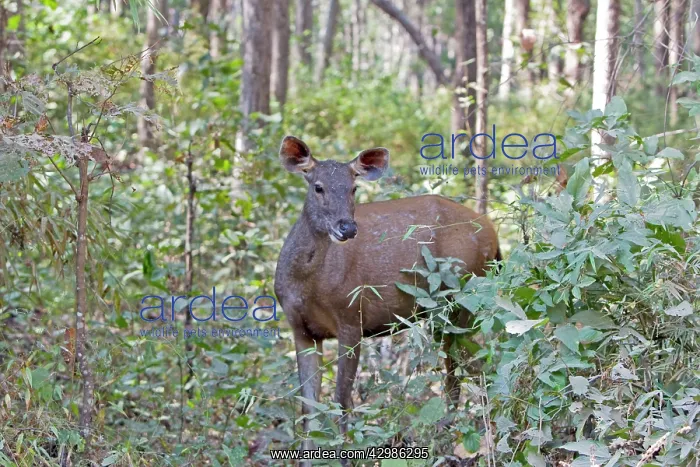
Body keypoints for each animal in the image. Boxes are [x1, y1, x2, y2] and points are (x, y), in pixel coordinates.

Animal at [274, 135, 500, 458]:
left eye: (353, 188)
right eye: (317, 186)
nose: (347, 227)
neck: (306, 286)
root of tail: (493, 234)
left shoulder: (351, 318)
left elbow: (341, 399)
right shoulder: (301, 330)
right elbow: (309, 407)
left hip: (459, 299)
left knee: (473, 366)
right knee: (463, 369)